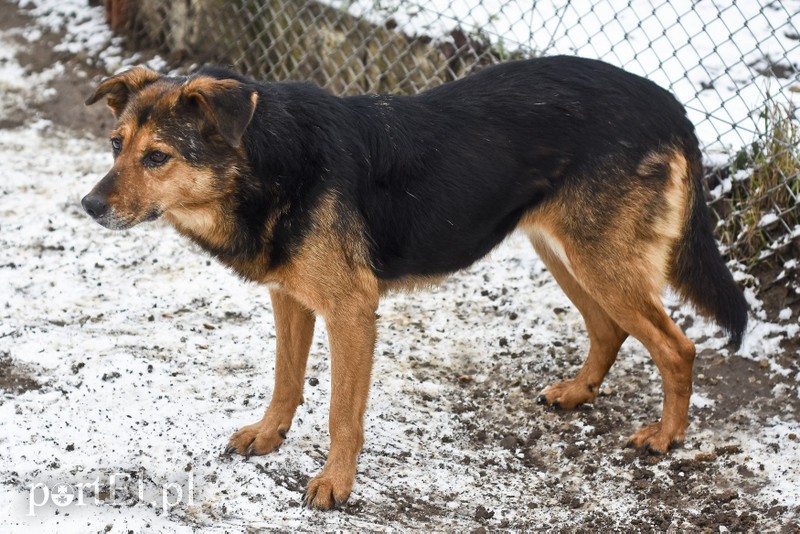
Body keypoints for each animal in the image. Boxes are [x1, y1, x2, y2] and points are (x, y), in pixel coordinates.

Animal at [84, 56, 748, 512]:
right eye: (116, 145)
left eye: (158, 157)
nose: (88, 206)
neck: (270, 161)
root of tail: (666, 101)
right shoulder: (290, 298)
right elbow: (286, 380)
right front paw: (270, 436)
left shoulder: (350, 310)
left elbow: (341, 413)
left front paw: (335, 484)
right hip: (563, 249)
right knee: (609, 328)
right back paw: (578, 393)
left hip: (598, 259)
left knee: (677, 347)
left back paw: (664, 438)